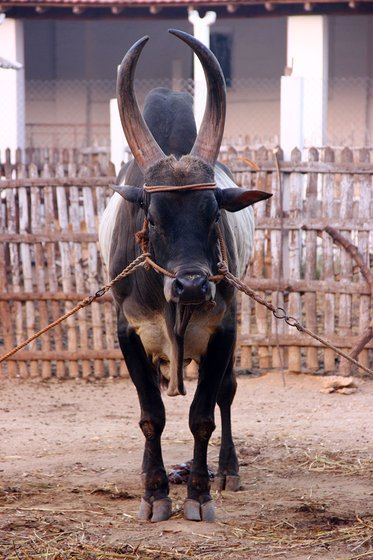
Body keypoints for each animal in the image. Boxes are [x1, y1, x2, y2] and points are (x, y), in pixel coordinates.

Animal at [99, 29, 270, 520]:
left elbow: (203, 415)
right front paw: (155, 493)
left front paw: (199, 494)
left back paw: (227, 470)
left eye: (214, 213)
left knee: (227, 392)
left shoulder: (223, 330)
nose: (192, 284)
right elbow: (151, 416)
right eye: (152, 217)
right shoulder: (128, 331)